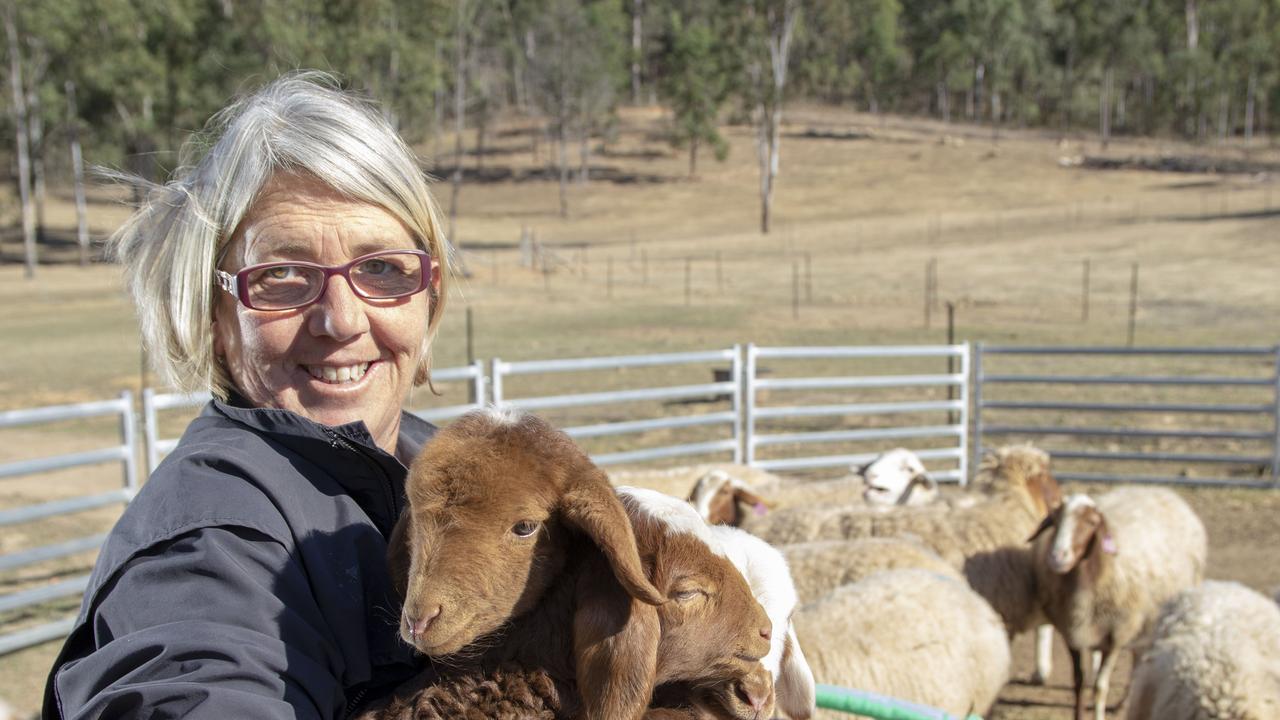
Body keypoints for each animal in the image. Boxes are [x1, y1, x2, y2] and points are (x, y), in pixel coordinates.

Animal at [1029, 484, 1208, 717]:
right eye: (1056, 520)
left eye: (1092, 522)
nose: (1057, 557)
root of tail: (1164, 492)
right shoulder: (1071, 634)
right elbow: (1078, 682)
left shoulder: (1116, 636)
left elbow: (1100, 687)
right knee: (1137, 658)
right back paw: (1123, 703)